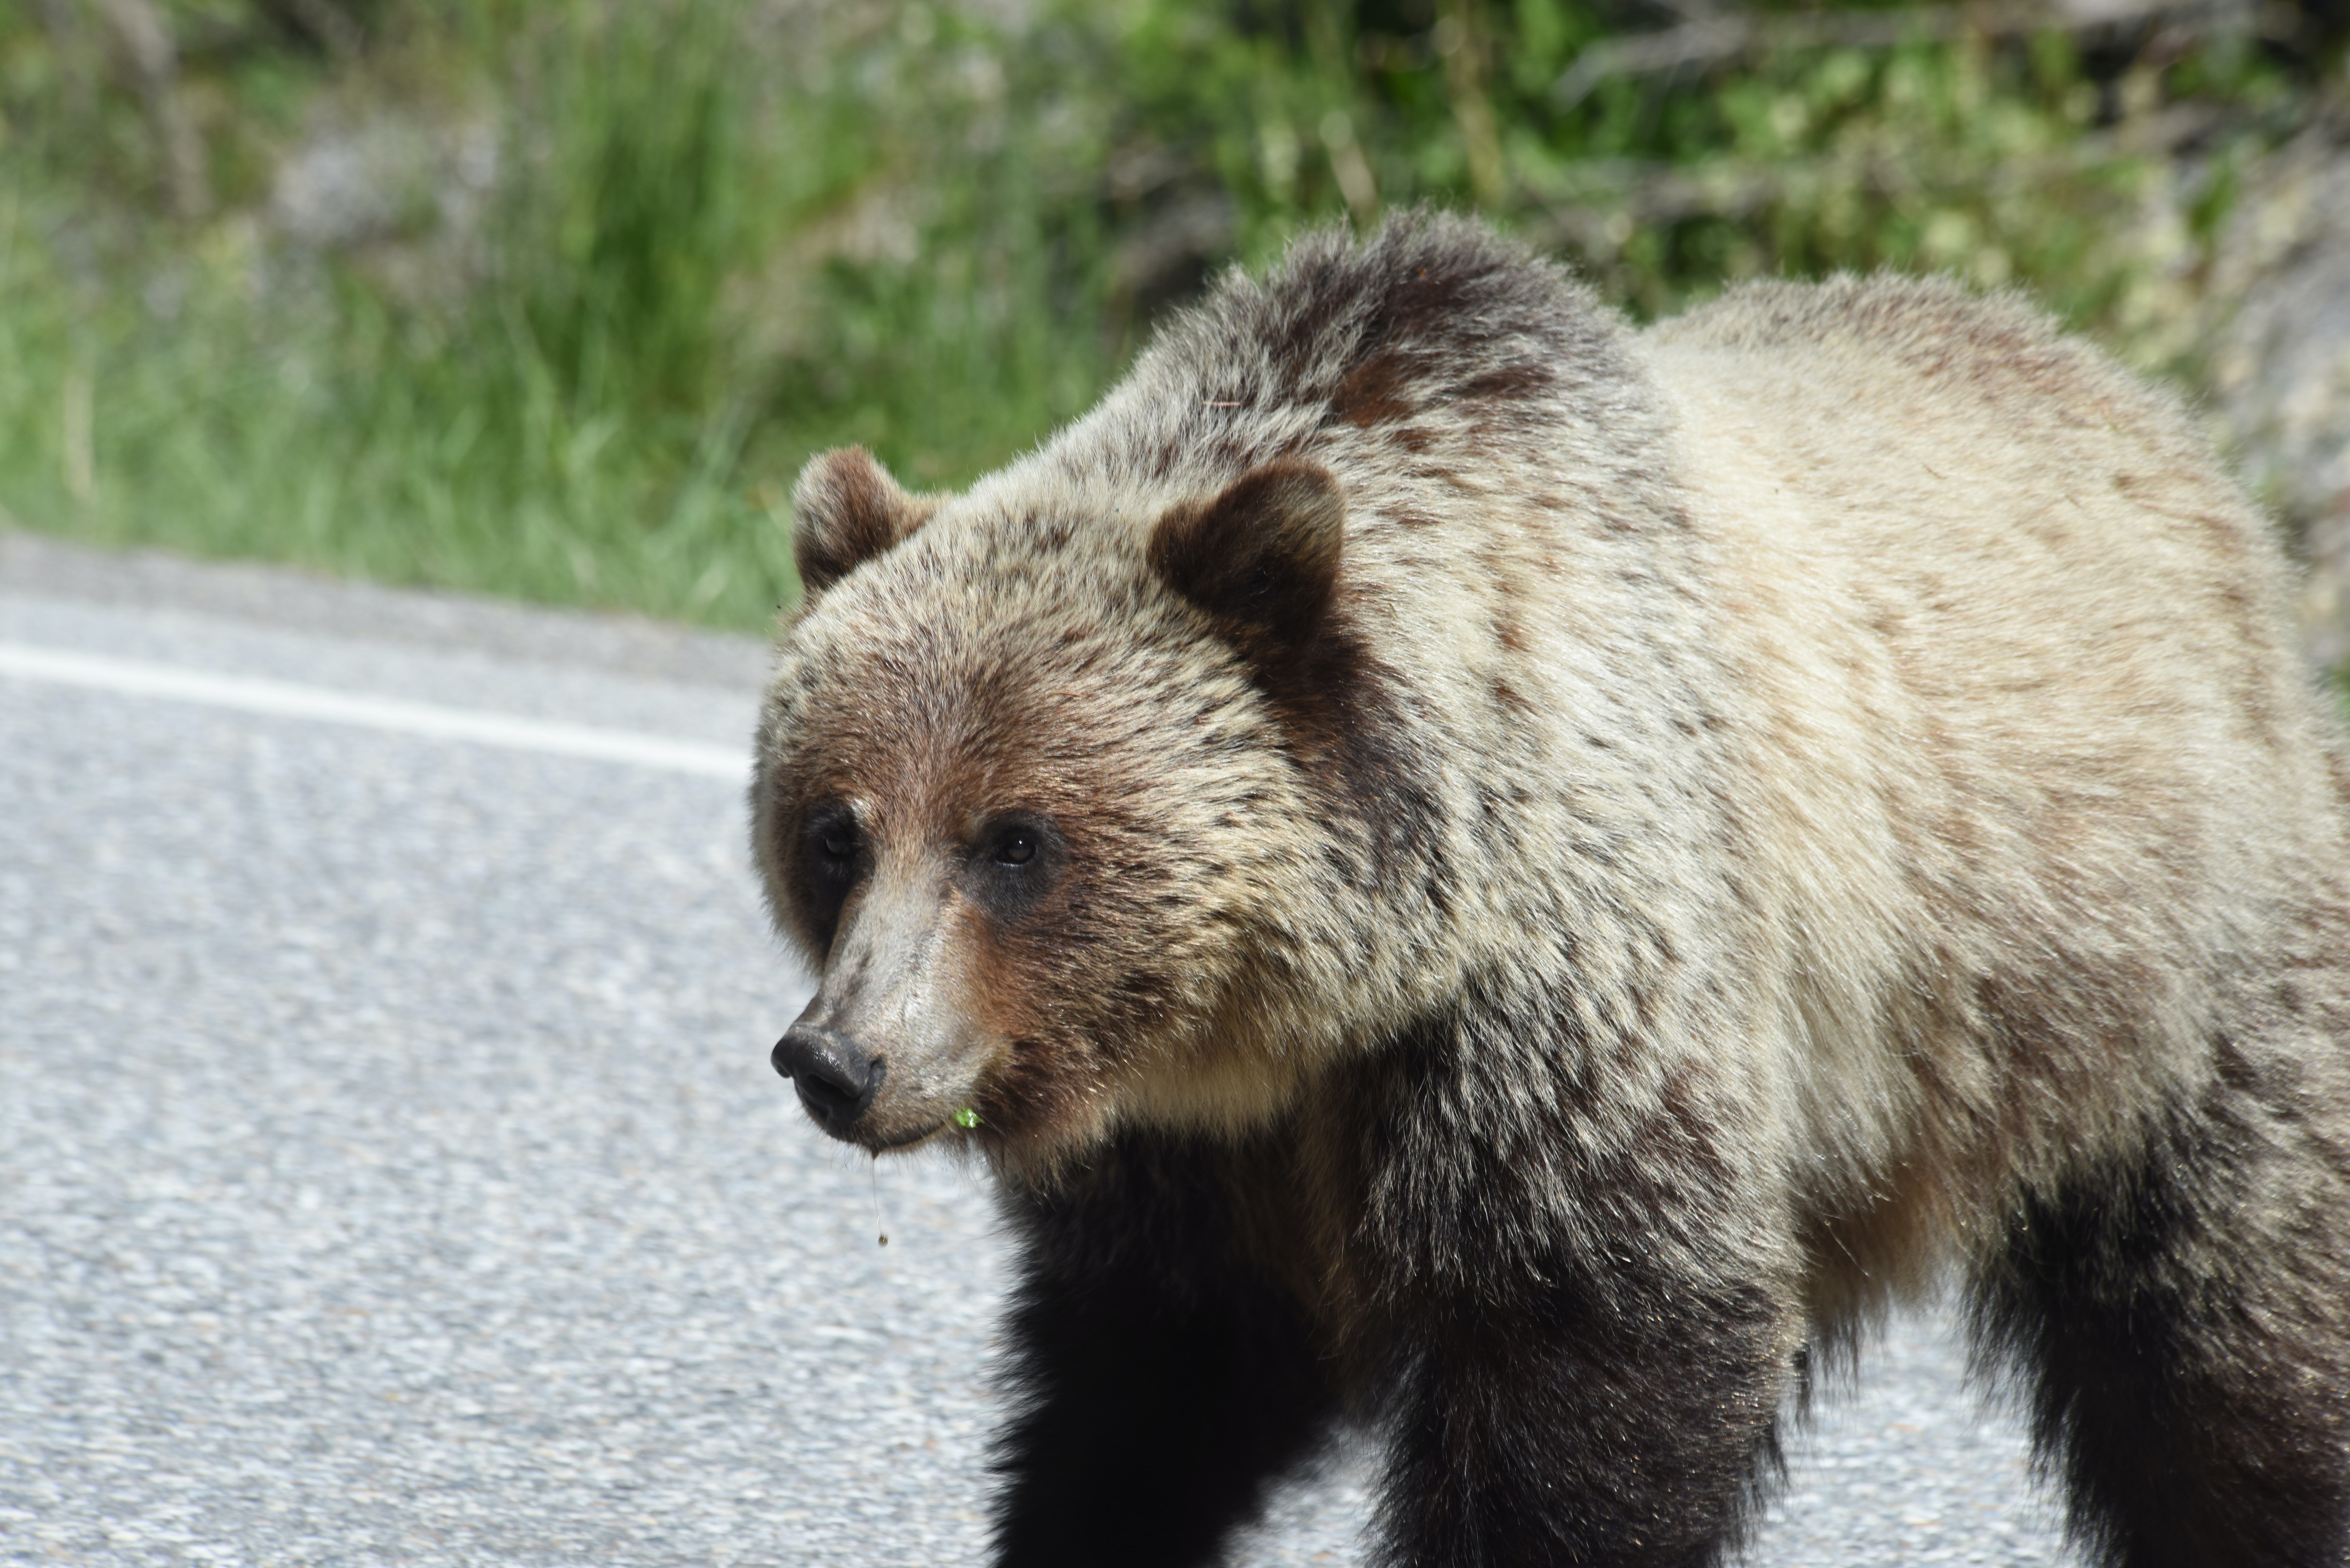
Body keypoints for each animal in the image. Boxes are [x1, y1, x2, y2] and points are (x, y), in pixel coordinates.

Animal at [756, 211, 2350, 1568]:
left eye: (1015, 839)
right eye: (836, 829)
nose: (841, 1057)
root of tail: (2161, 429)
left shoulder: (1565, 1008)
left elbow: (1591, 1356)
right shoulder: (1197, 1151)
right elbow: (1148, 1383)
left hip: (2167, 980)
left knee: (2226, 1346)